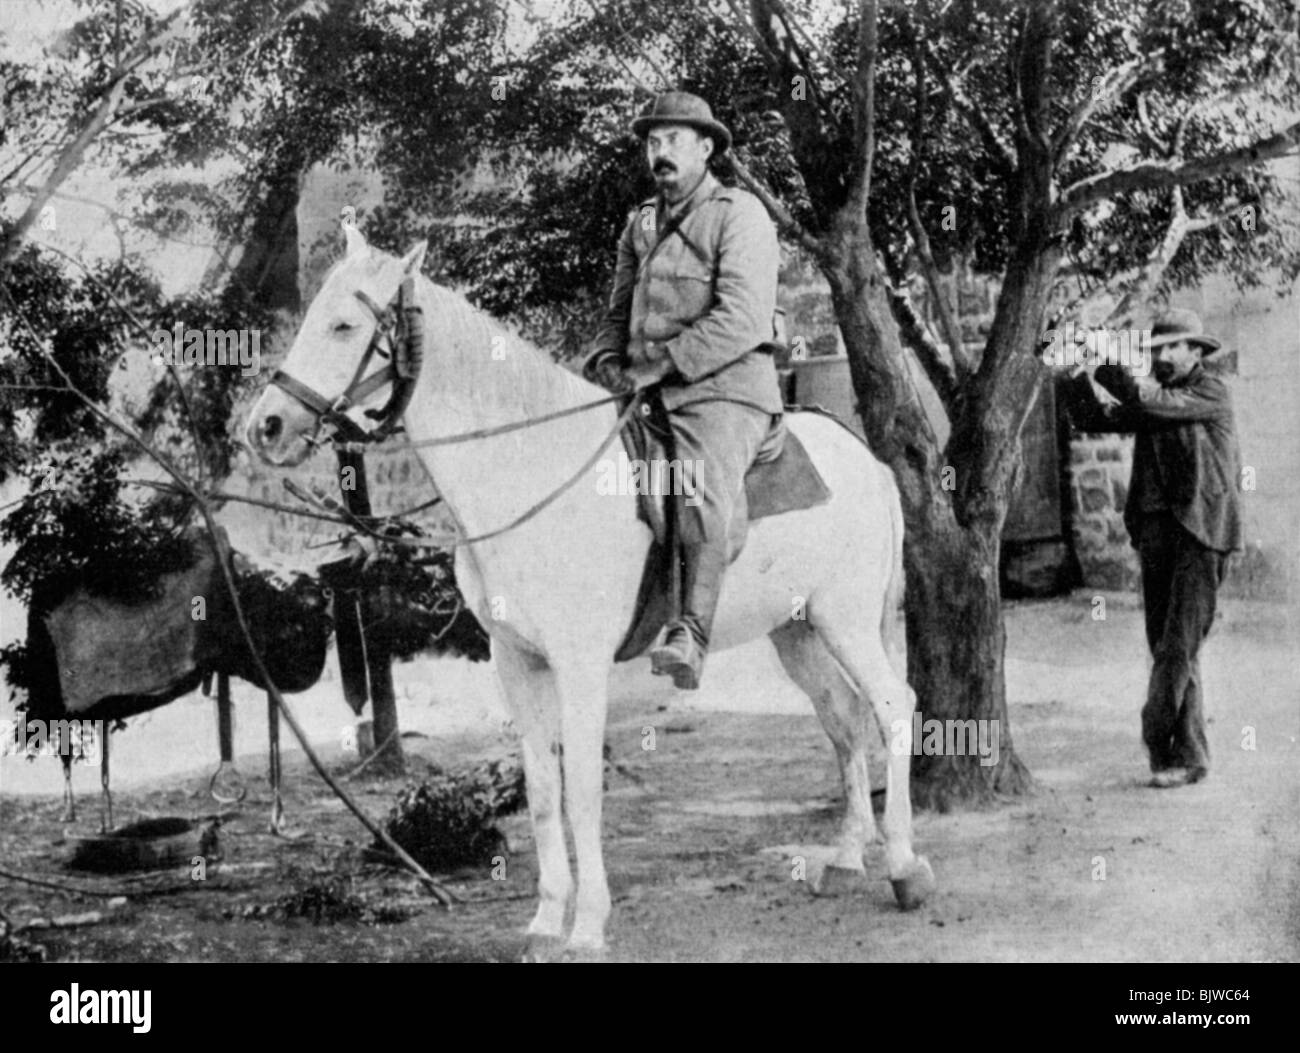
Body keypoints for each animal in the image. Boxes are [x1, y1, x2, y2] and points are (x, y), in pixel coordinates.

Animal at [244, 226, 935, 956]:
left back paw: (903, 866)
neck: (536, 472)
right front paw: (548, 919)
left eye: (344, 325)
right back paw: (846, 857)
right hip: (797, 632)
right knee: (844, 721)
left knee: (892, 706)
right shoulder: (516, 662)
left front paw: (588, 925)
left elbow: (580, 792)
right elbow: (544, 791)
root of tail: (867, 459)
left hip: (846, 621)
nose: (265, 427)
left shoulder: (580, 667)